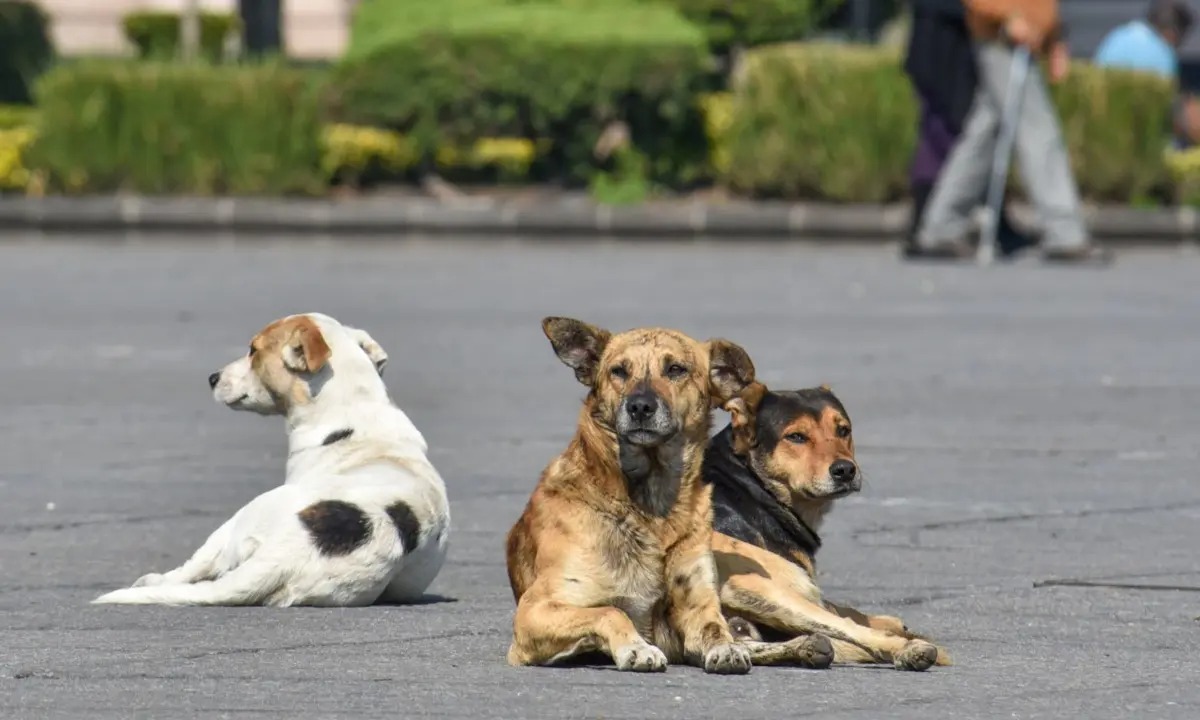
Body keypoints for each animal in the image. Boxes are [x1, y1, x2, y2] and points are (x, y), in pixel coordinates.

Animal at [92, 312, 451, 604]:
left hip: (239, 519)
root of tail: (289, 552)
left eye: (253, 350)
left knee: (193, 567)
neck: (355, 407)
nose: (212, 377)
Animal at [504, 316, 835, 672]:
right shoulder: (535, 611)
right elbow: (611, 611)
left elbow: (715, 629)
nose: (639, 406)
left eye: (676, 369)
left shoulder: (696, 607)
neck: (651, 506)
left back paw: (804, 645)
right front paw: (637, 648)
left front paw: (726, 649)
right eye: (618, 371)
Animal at [705, 386, 950, 672]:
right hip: (759, 590)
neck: (748, 483)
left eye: (843, 430)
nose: (845, 470)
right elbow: (845, 616)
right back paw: (909, 650)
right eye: (796, 437)